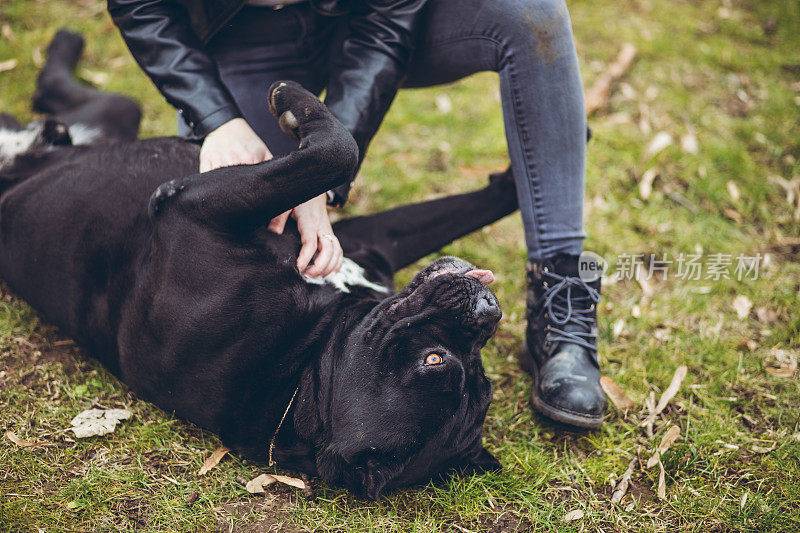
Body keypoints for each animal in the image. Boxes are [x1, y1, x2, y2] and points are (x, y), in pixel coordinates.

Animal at [0, 32, 520, 498]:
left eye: (435, 360)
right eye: (480, 375)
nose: (488, 309)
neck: (304, 367)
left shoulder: (193, 213)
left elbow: (337, 151)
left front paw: (289, 99)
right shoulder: (372, 240)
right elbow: (430, 191)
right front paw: (515, 174)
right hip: (118, 111)